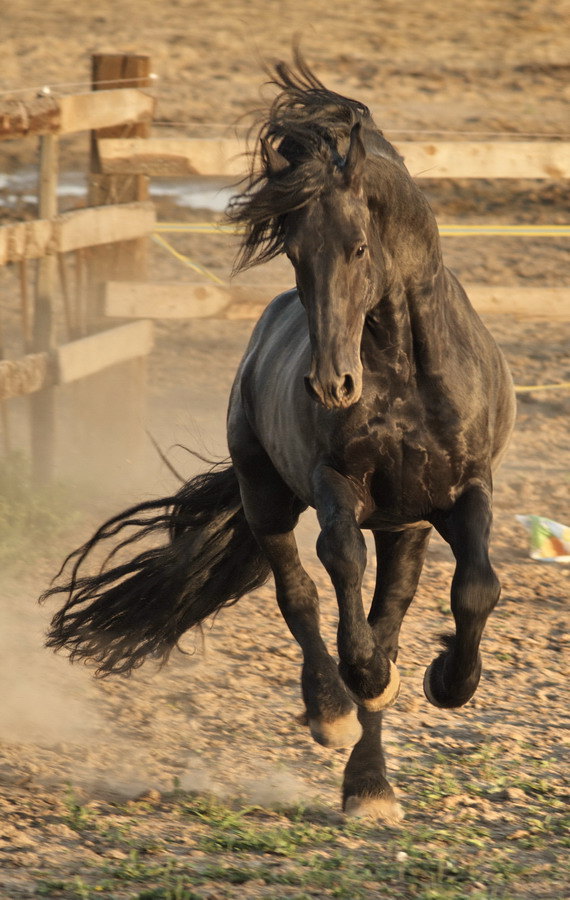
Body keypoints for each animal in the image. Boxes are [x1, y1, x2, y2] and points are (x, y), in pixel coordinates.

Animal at [43, 58, 516, 824]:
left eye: (360, 248)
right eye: (294, 252)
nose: (332, 385)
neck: (407, 373)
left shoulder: (463, 491)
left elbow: (476, 586)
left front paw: (449, 680)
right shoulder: (334, 486)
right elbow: (339, 567)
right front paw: (353, 689)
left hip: (406, 529)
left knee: (387, 616)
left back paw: (371, 787)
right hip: (265, 494)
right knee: (301, 597)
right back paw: (335, 715)